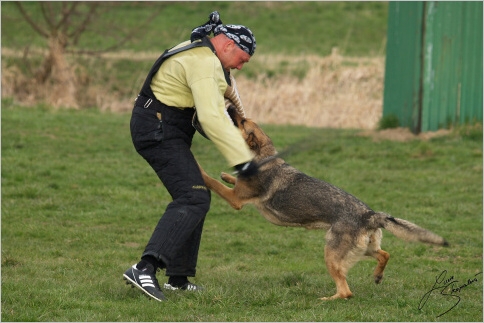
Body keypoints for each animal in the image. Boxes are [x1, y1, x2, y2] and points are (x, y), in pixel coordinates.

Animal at [199, 106, 448, 302]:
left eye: (241, 122)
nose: (229, 106)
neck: (260, 158)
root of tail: (370, 215)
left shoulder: (235, 200)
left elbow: (212, 181)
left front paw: (202, 169)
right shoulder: (238, 192)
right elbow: (228, 180)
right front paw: (227, 175)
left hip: (331, 254)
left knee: (346, 291)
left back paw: (327, 299)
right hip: (364, 249)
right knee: (384, 255)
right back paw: (377, 276)